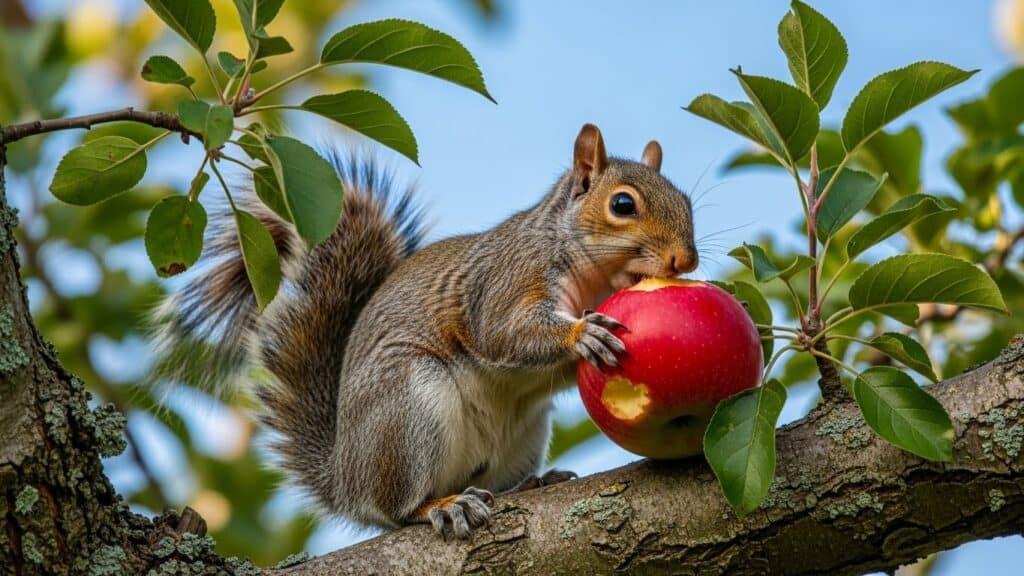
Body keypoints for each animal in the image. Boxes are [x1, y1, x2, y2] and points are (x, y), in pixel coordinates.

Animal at [153, 123, 697, 539]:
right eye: (622, 205)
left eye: (687, 200)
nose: (685, 261)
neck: (593, 277)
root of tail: (345, 477)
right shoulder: (504, 281)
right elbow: (502, 334)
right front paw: (580, 334)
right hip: (409, 411)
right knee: (397, 509)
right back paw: (441, 505)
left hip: (521, 435)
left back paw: (529, 485)